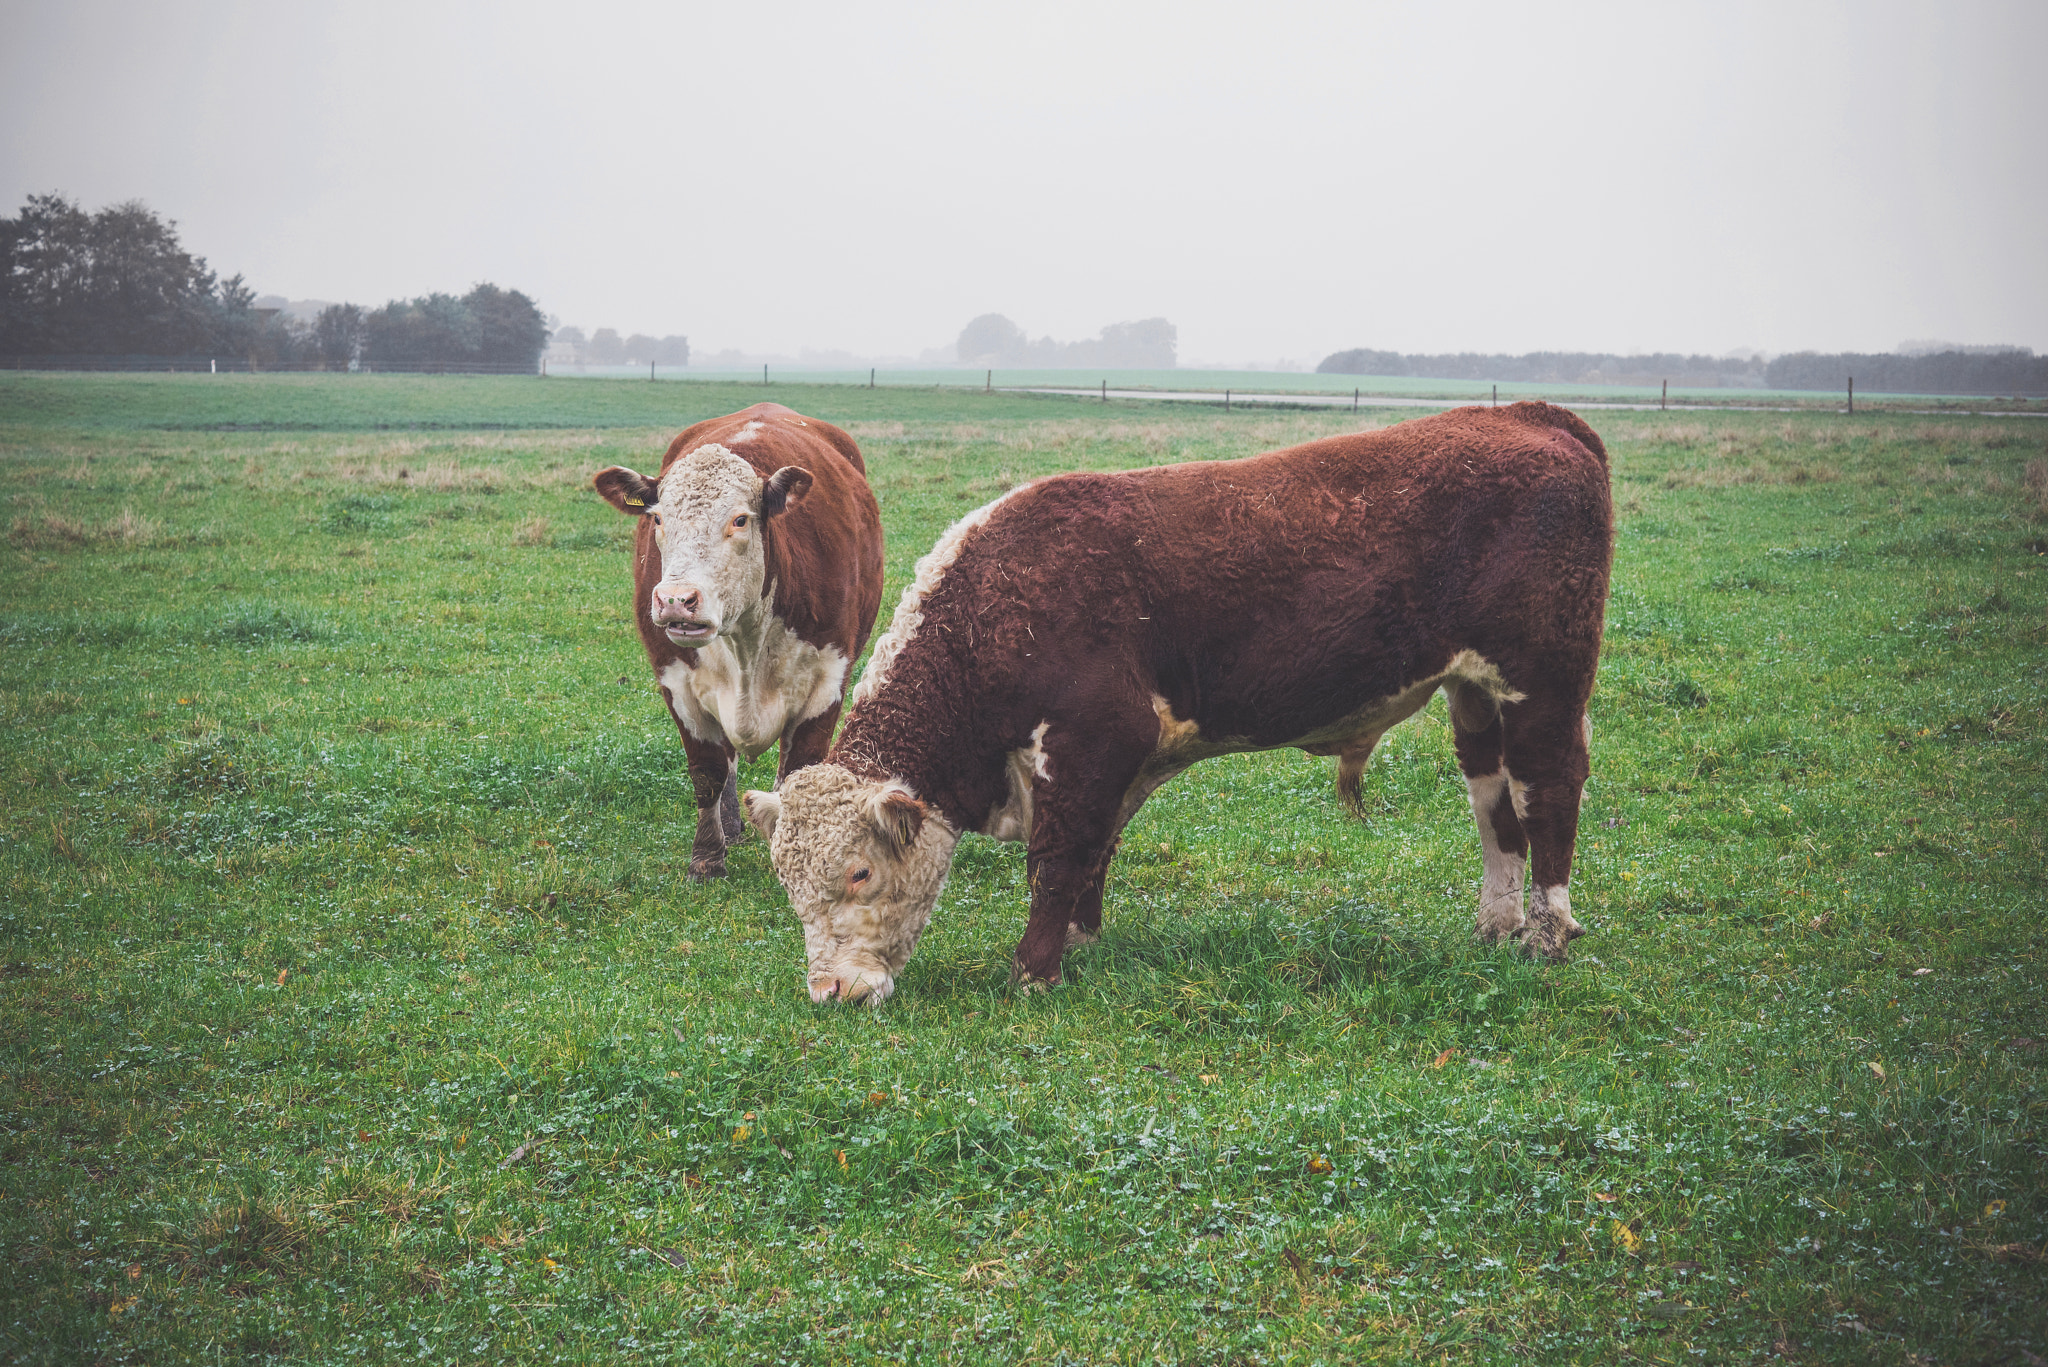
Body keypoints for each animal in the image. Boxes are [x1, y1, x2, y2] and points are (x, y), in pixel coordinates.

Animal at [593, 401, 880, 881]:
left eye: (740, 519)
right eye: (658, 518)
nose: (676, 600)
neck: (747, 640)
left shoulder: (828, 681)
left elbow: (798, 769)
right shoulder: (677, 683)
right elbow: (707, 770)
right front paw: (707, 857)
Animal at [749, 401, 1613, 1000]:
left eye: (859, 872)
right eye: (786, 880)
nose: (830, 991)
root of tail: (1526, 414)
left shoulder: (1095, 736)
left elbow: (1059, 857)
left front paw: (1034, 970)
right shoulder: (1117, 758)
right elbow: (1094, 853)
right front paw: (1082, 943)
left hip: (1542, 680)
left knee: (1548, 791)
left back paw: (1544, 935)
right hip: (1475, 693)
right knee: (1495, 803)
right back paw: (1495, 925)